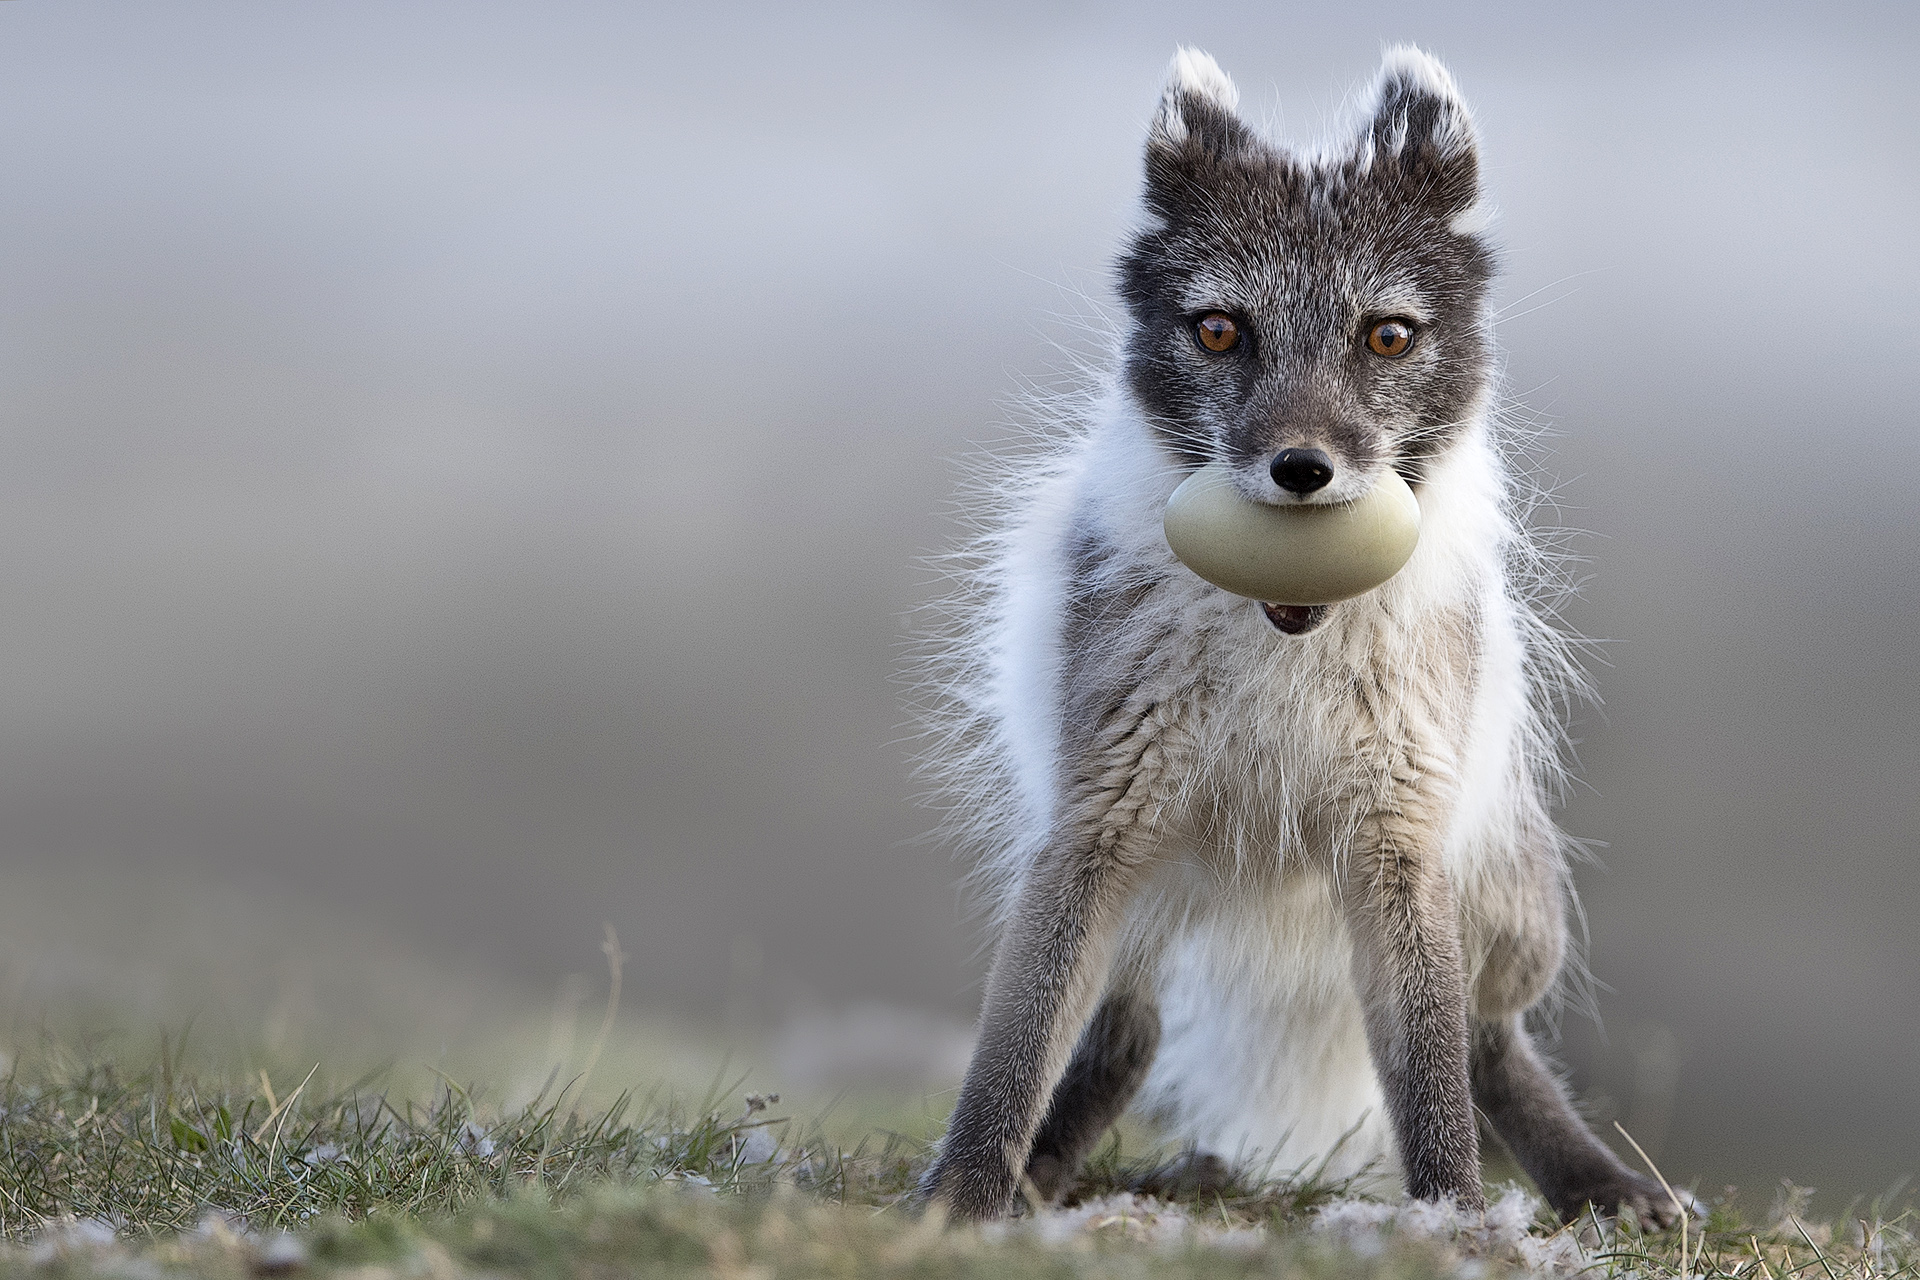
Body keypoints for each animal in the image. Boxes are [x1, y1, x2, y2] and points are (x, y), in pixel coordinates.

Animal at [916, 47, 1681, 1226]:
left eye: (1387, 335)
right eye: (1220, 329)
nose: (1302, 469)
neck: (1280, 651)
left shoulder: (1397, 837)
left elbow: (1431, 1063)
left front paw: (1451, 1217)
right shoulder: (1095, 822)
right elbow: (1020, 1042)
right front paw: (965, 1192)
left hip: (1508, 893)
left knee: (1488, 1037)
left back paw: (1595, 1181)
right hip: (1142, 891)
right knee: (1126, 1028)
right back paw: (1045, 1170)